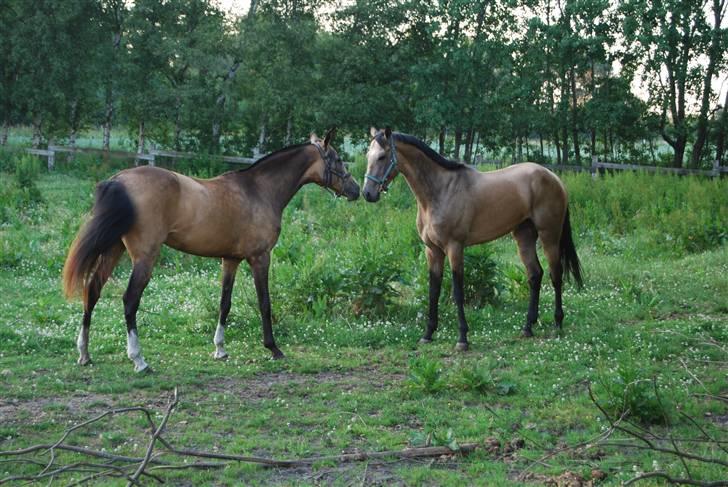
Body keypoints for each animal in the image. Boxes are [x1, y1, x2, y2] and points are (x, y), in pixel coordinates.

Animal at [64, 130, 360, 374]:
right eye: (337, 159)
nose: (356, 190)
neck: (259, 191)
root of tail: (119, 179)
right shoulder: (260, 258)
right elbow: (264, 303)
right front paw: (273, 348)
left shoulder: (230, 260)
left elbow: (224, 304)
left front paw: (220, 349)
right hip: (144, 258)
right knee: (129, 301)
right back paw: (139, 360)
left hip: (113, 250)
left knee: (92, 291)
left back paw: (84, 354)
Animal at [366, 127, 584, 352]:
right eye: (368, 156)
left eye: (382, 156)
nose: (368, 193)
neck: (440, 190)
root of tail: (553, 177)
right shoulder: (432, 250)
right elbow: (433, 290)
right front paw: (428, 334)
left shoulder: (455, 248)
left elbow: (457, 292)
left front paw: (462, 338)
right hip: (524, 236)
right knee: (535, 274)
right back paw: (527, 327)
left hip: (550, 235)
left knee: (555, 275)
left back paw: (557, 324)